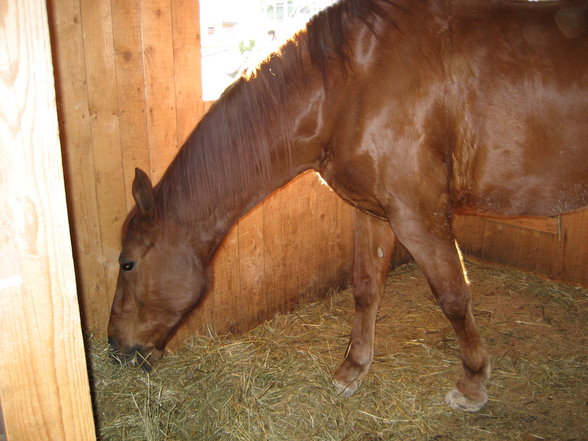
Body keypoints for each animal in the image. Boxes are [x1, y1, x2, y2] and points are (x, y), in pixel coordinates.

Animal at [108, 0, 588, 412]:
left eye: (127, 263)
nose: (115, 348)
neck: (349, 83)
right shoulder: (374, 213)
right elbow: (365, 287)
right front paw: (352, 370)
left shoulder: (418, 218)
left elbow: (453, 296)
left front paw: (472, 384)